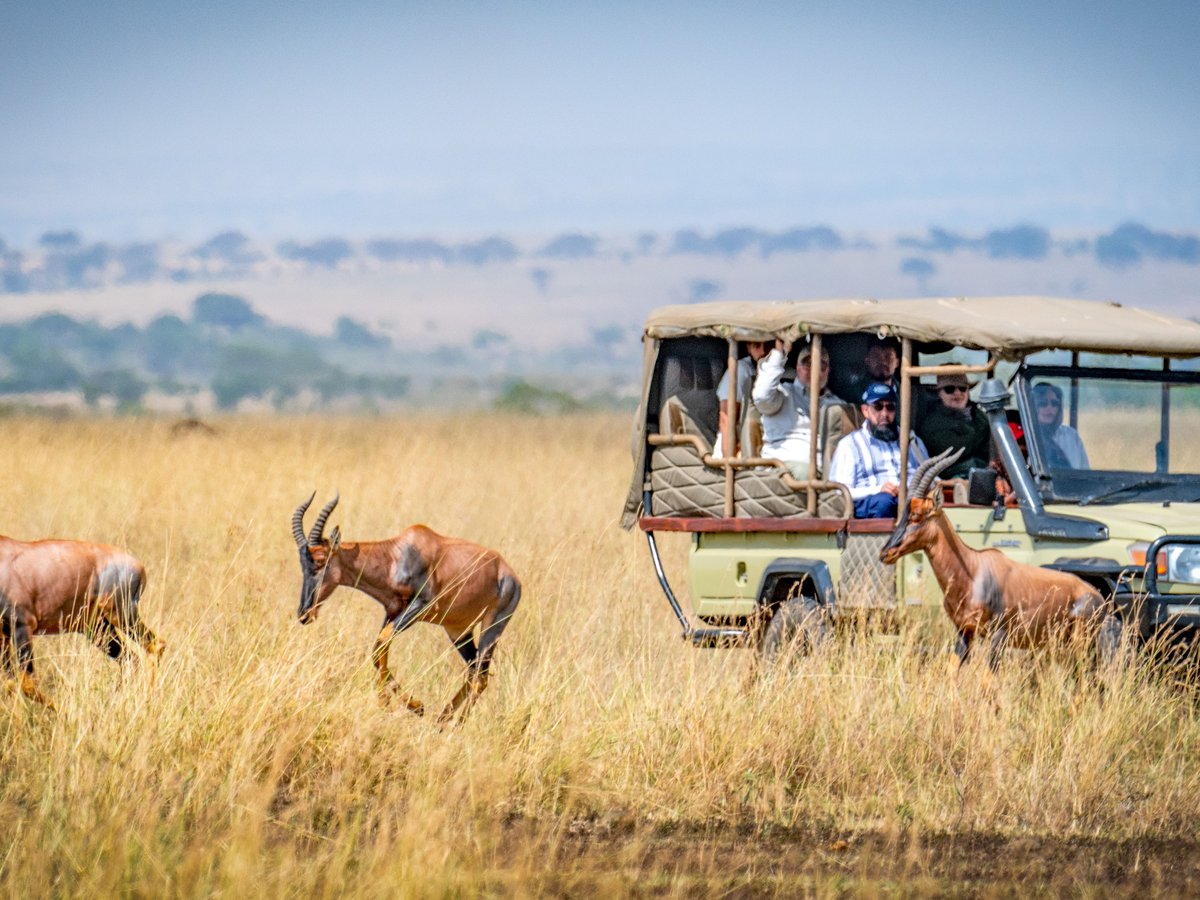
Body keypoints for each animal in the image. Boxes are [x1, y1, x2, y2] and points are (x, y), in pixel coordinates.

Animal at [0, 536, 164, 709]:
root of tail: (138, 566)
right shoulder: (3, 637)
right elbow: (10, 683)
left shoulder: (22, 626)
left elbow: (27, 684)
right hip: (97, 628)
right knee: (130, 659)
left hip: (121, 614)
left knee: (155, 645)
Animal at [291, 494, 521, 723]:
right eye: (302, 564)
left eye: (321, 561)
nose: (304, 613)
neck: (398, 556)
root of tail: (510, 575)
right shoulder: (392, 612)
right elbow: (378, 649)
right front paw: (399, 704)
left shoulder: (420, 605)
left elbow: (381, 642)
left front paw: (407, 705)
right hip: (458, 631)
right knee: (474, 671)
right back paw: (441, 720)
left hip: (493, 626)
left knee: (481, 677)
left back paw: (456, 725)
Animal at [880, 449, 1116, 669]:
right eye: (903, 513)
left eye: (917, 515)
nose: (886, 553)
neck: (973, 569)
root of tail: (1098, 598)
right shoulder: (965, 632)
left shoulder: (998, 635)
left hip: (1081, 642)